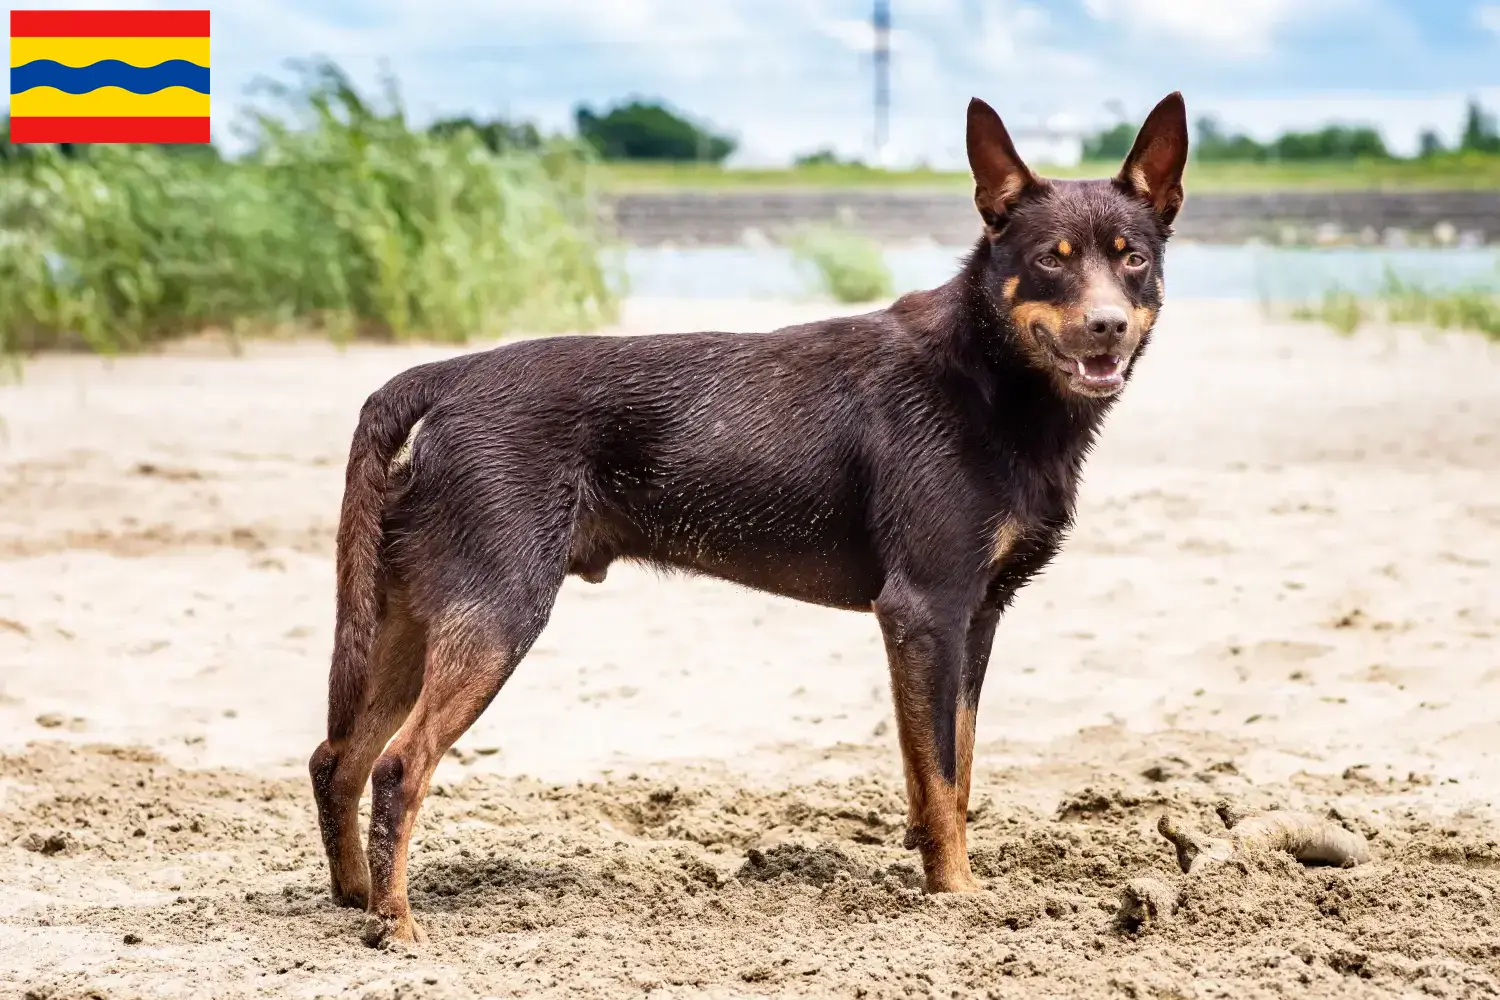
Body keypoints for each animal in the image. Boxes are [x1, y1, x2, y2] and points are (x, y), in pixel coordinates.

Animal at [310, 93, 1188, 947]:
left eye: (1132, 259)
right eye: (1051, 260)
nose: (1107, 325)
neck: (992, 375)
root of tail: (444, 377)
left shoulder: (976, 618)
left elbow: (950, 769)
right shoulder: (927, 609)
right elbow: (942, 778)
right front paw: (957, 898)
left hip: (409, 616)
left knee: (336, 759)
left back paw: (355, 899)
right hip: (497, 612)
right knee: (398, 766)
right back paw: (397, 923)